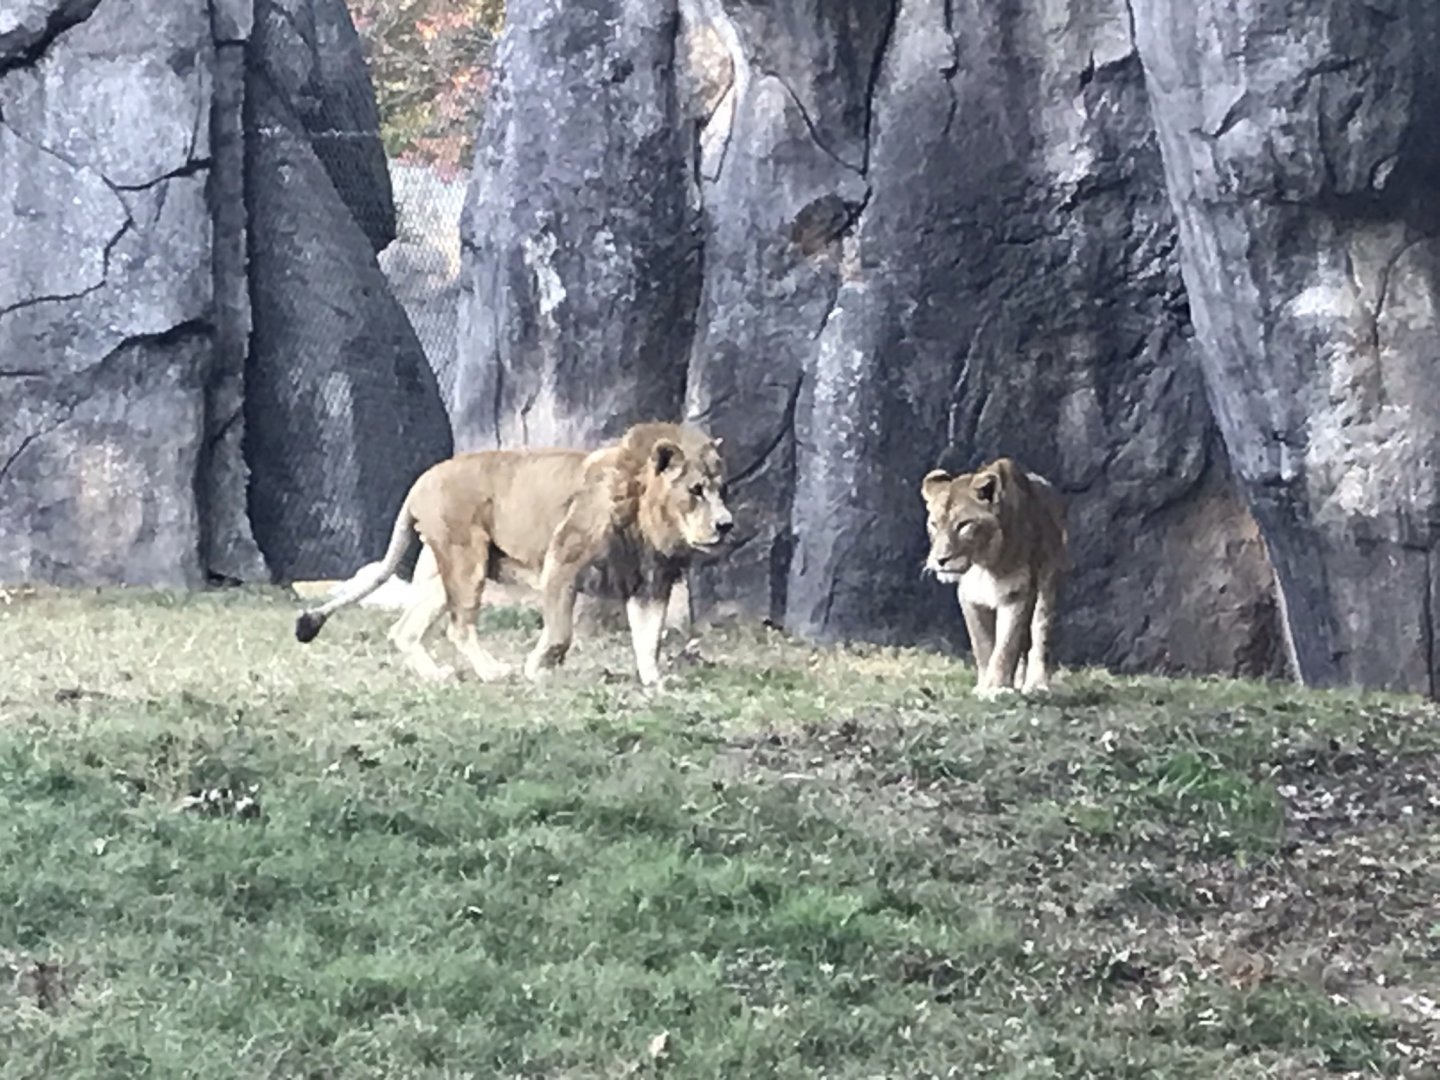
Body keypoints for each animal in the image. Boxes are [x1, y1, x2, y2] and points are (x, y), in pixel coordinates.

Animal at [293, 421, 733, 687]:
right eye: (695, 491)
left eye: (721, 489)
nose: (726, 525)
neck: (648, 518)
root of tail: (422, 479)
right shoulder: (561, 562)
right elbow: (560, 632)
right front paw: (536, 669)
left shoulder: (650, 585)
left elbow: (648, 639)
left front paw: (655, 683)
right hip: (467, 560)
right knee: (458, 627)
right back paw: (492, 671)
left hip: (442, 573)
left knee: (404, 630)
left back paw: (436, 675)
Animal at [920, 457, 1068, 697]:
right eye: (934, 524)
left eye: (963, 525)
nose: (941, 559)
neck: (983, 565)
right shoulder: (970, 597)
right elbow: (983, 645)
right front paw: (984, 686)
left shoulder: (1018, 594)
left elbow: (1006, 646)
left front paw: (996, 688)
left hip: (1048, 585)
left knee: (1039, 635)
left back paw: (1036, 685)